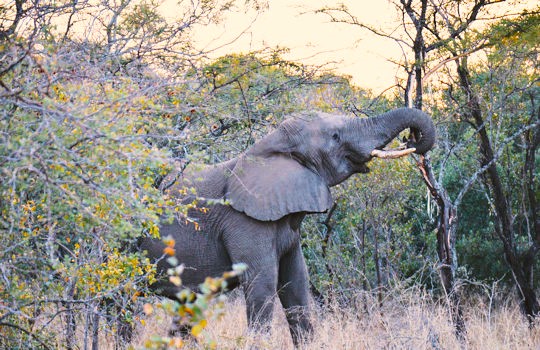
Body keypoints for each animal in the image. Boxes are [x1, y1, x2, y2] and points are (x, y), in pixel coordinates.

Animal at [139, 108, 434, 346]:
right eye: (335, 137)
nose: (411, 139)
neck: (272, 146)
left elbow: (296, 284)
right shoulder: (245, 223)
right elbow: (263, 284)